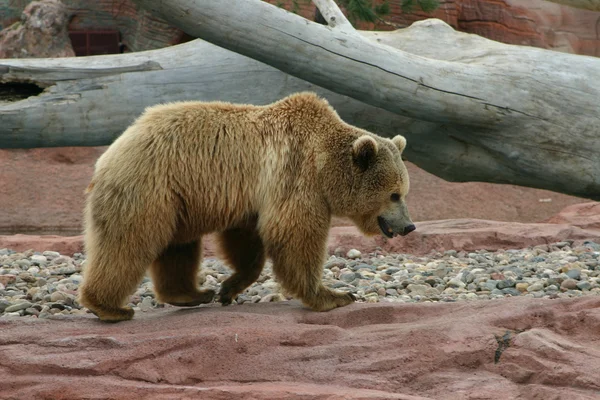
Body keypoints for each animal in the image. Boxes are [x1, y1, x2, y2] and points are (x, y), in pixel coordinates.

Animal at [78, 91, 418, 322]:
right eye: (394, 194)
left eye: (403, 190)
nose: (409, 225)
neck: (324, 166)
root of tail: (112, 150)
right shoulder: (295, 175)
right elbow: (296, 234)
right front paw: (334, 294)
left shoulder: (253, 196)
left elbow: (247, 239)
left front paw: (229, 287)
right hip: (149, 188)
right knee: (127, 243)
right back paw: (110, 307)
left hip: (178, 201)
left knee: (178, 247)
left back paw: (192, 293)